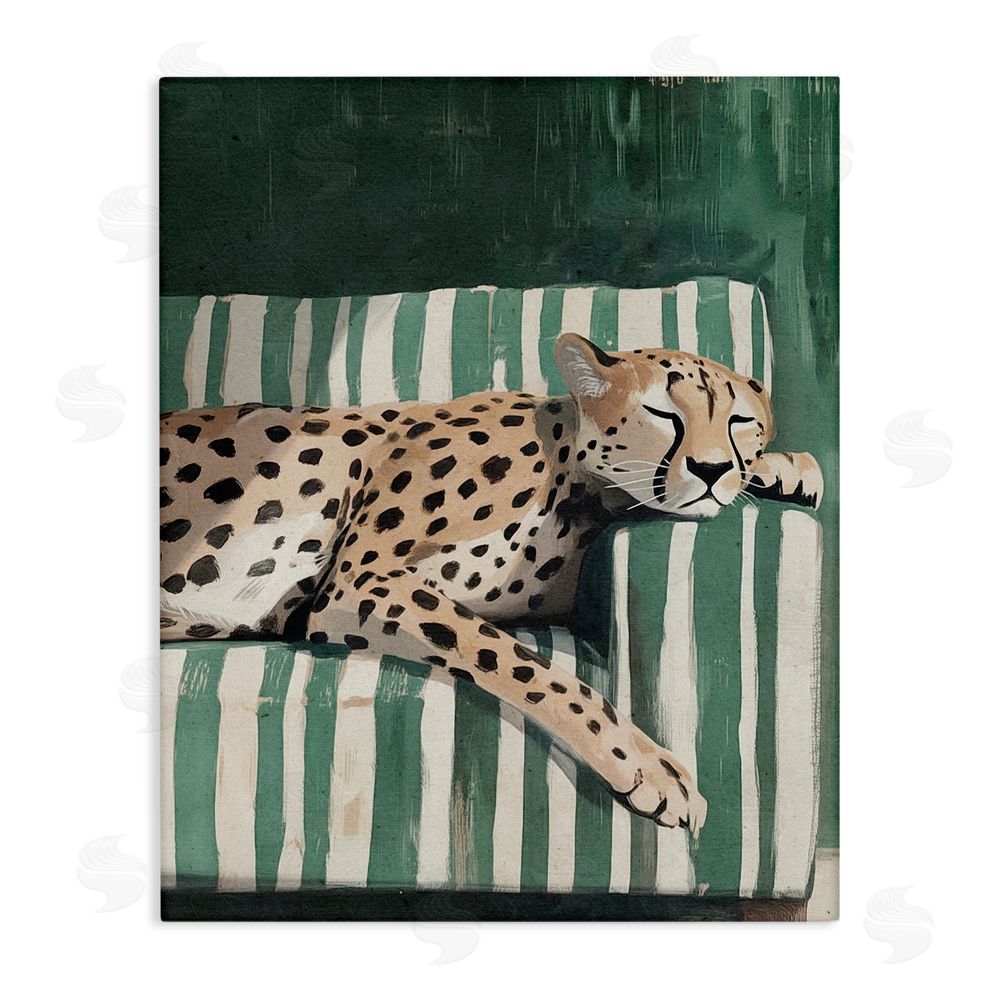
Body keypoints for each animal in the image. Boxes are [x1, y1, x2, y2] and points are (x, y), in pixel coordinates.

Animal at [160, 333, 823, 833]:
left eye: (740, 422)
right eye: (664, 414)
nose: (711, 470)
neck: (577, 478)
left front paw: (782, 467)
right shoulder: (363, 582)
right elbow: (530, 668)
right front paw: (650, 767)